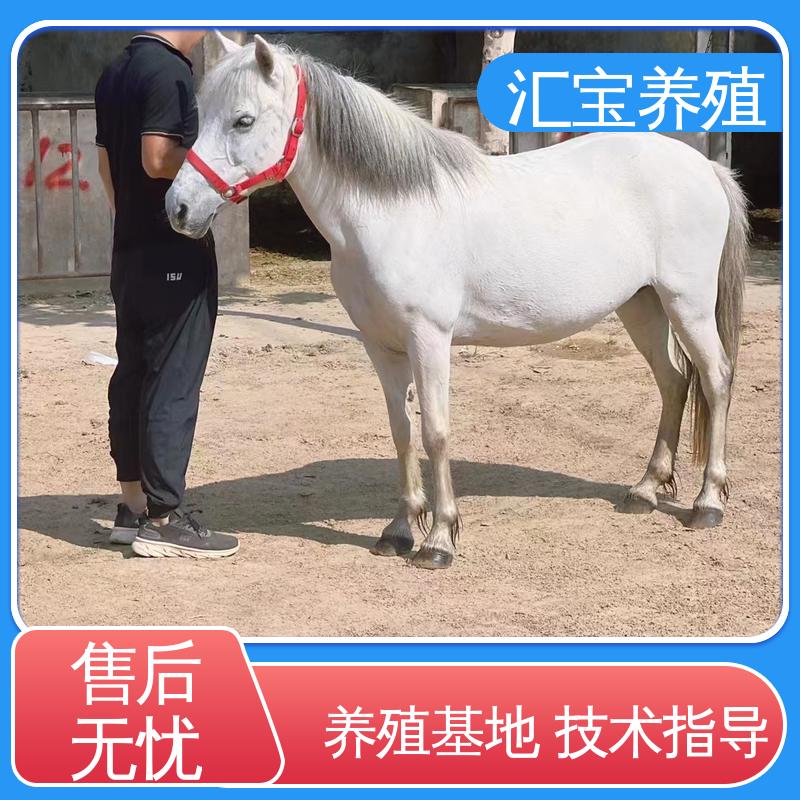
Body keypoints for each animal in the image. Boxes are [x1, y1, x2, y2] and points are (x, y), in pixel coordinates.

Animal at [166, 34, 749, 570]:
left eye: (243, 121)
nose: (179, 208)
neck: (391, 210)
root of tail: (705, 168)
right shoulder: (381, 345)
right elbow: (402, 432)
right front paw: (399, 530)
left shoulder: (429, 339)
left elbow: (435, 432)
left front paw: (440, 539)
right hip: (642, 305)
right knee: (673, 382)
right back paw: (646, 490)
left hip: (687, 304)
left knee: (715, 378)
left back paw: (707, 503)